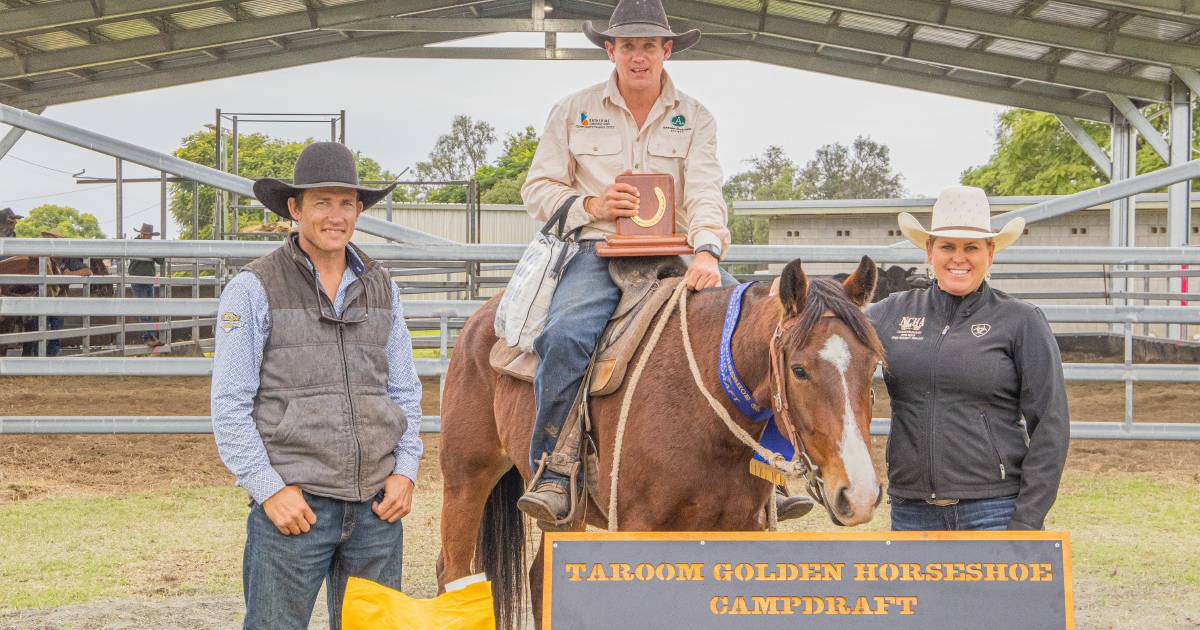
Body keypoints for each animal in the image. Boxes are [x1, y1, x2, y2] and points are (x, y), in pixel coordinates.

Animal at [436, 255, 888, 628]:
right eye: (799, 370)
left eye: (873, 365)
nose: (860, 495)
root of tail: (481, 320)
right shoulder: (640, 531)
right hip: (466, 478)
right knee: (452, 571)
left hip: (566, 516)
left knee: (537, 576)